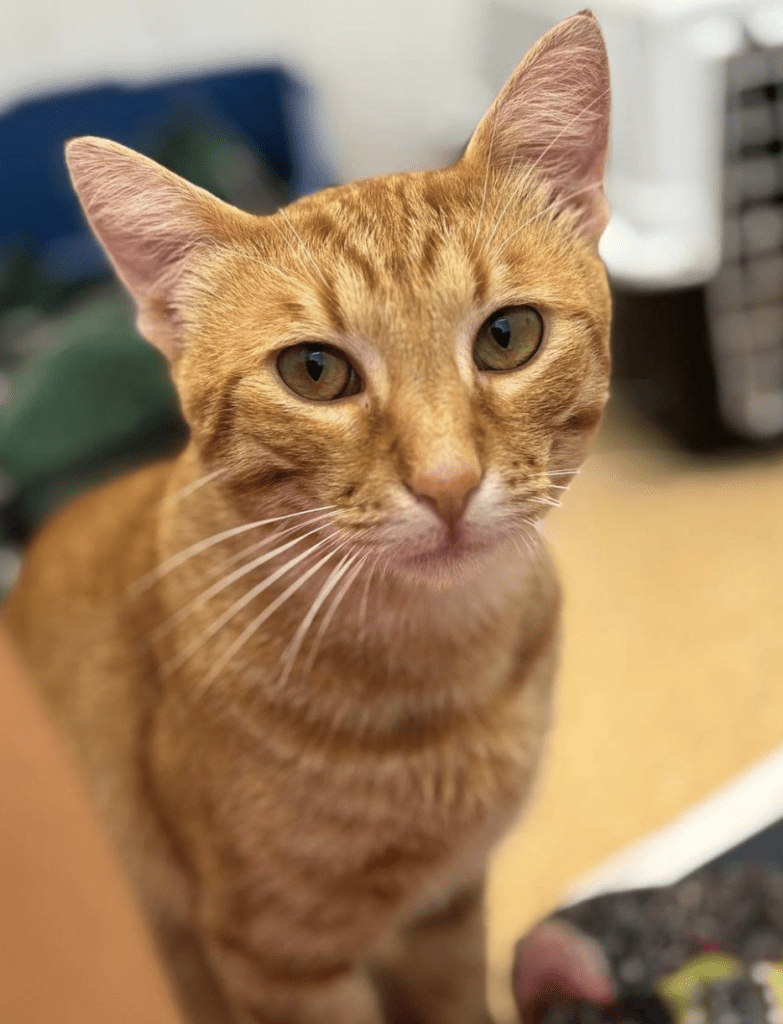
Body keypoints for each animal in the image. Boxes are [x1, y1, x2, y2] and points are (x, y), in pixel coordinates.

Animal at [1, 14, 610, 1024]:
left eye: (507, 336)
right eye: (314, 372)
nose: (447, 481)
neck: (439, 673)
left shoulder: (445, 914)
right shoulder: (280, 960)